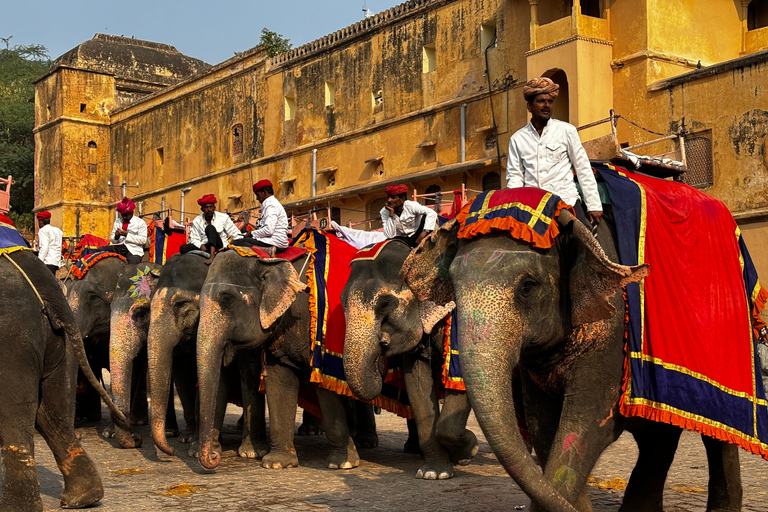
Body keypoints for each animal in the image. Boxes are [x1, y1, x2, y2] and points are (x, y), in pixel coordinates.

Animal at [0, 249, 129, 512]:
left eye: (94, 297)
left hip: (13, 337)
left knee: (15, 415)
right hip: (61, 341)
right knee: (52, 414)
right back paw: (82, 498)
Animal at [196, 250, 380, 470]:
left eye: (227, 299)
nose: (214, 457)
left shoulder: (322, 331)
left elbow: (324, 385)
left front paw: (342, 464)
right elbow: (279, 380)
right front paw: (276, 463)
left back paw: (365, 442)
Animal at [340, 240, 476, 480]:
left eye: (385, 304)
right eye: (341, 302)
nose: (381, 351)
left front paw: (469, 451)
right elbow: (417, 386)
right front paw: (434, 473)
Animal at [402, 211, 744, 512]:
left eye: (527, 287)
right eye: (453, 288)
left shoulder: (612, 331)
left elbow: (587, 426)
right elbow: (545, 427)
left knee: (718, 433)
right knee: (657, 437)